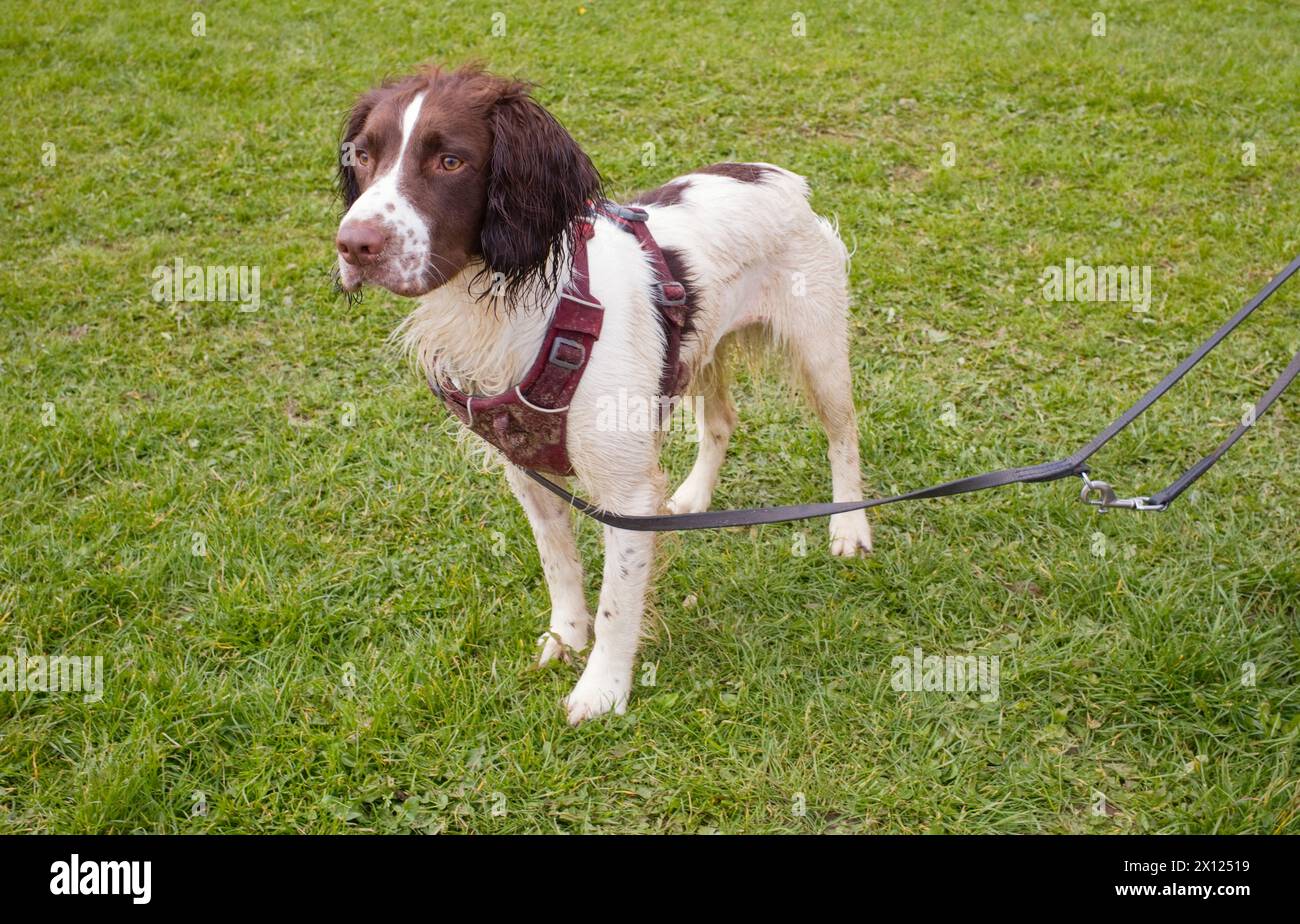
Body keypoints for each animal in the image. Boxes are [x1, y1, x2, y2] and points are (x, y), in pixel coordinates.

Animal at [335, 68, 873, 727]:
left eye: (451, 160)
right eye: (363, 156)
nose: (353, 245)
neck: (515, 309)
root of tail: (779, 176)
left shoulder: (625, 491)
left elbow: (620, 599)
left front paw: (603, 689)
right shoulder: (528, 471)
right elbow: (560, 566)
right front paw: (566, 639)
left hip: (818, 350)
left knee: (844, 433)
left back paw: (850, 528)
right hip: (696, 354)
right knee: (723, 420)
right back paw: (694, 496)